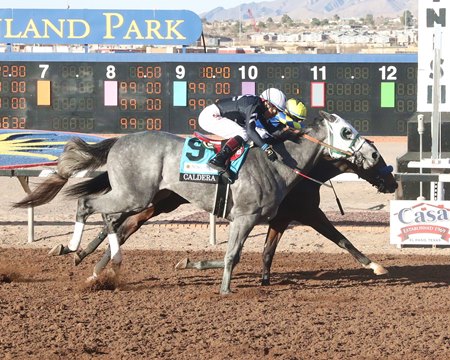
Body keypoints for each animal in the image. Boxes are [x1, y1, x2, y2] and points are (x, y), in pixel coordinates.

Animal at [14, 111, 380, 294]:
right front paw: (225, 289)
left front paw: (193, 264)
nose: (376, 155)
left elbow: (240, 255)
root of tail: (118, 141)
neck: (276, 161)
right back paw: (74, 249)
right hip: (135, 195)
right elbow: (232, 256)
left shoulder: (263, 218)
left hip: (140, 197)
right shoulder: (245, 217)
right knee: (88, 205)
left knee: (111, 219)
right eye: (346, 132)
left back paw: (101, 264)